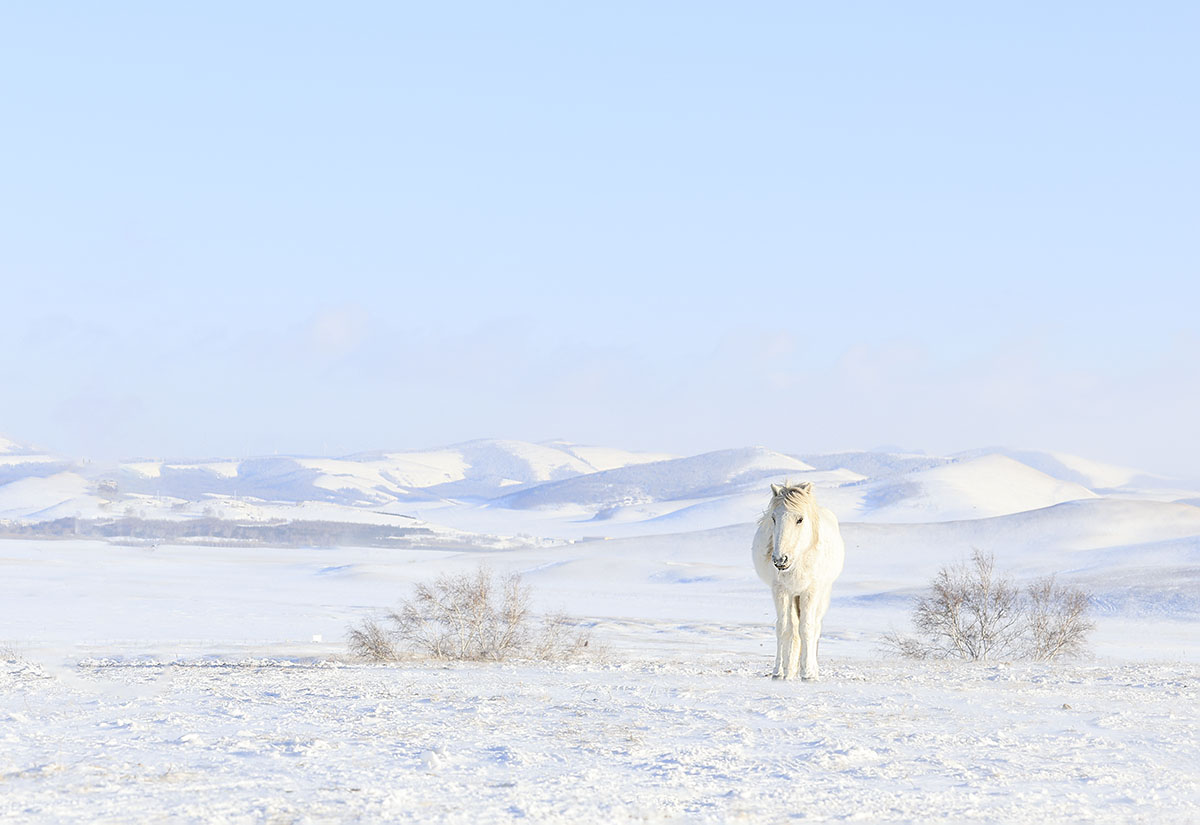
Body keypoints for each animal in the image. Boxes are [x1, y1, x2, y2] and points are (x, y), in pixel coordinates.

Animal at [751, 481, 845, 680]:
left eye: (800, 519)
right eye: (773, 518)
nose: (780, 559)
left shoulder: (811, 591)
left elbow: (808, 628)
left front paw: (808, 672)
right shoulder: (780, 590)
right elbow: (784, 628)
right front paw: (779, 670)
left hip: (821, 594)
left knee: (815, 626)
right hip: (793, 596)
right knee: (792, 628)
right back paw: (788, 668)